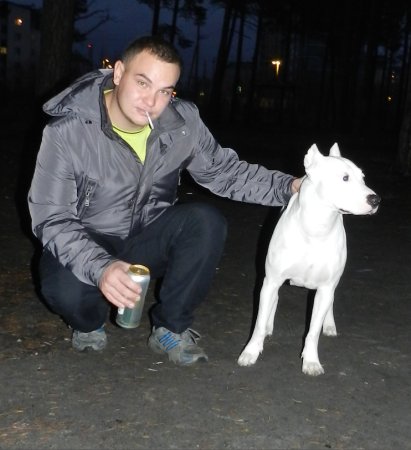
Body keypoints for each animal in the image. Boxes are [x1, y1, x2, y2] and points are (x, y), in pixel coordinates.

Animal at [238, 143, 380, 375]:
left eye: (362, 177)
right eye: (345, 178)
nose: (375, 200)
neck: (316, 228)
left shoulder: (325, 287)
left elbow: (313, 330)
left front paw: (311, 361)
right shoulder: (272, 280)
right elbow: (258, 322)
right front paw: (250, 352)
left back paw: (329, 324)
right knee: (271, 300)